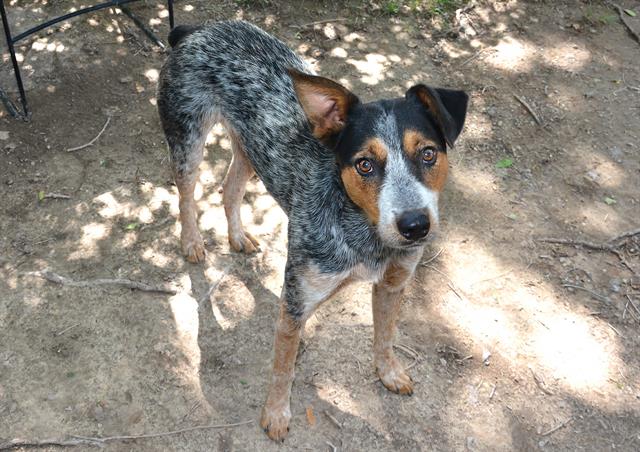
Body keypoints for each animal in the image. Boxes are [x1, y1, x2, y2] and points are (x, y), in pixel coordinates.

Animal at [158, 21, 468, 442]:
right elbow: (283, 366)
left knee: (229, 188)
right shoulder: (295, 302)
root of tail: (199, 28)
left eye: (428, 154)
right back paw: (191, 242)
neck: (366, 236)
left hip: (251, 149)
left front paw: (388, 372)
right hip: (187, 139)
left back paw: (237, 236)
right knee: (187, 196)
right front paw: (275, 414)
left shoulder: (394, 284)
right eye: (365, 164)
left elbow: (386, 336)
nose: (415, 226)